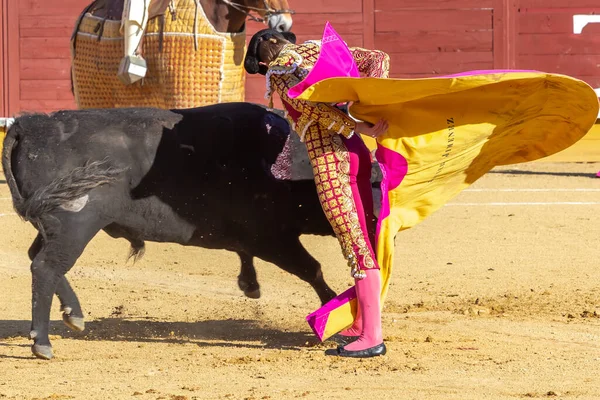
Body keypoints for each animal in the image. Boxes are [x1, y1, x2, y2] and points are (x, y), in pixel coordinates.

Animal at [2, 102, 382, 360]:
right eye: (370, 184)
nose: (377, 227)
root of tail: (30, 123)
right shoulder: (272, 238)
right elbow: (312, 270)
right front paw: (338, 323)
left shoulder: (261, 239)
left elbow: (254, 258)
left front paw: (250, 284)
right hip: (75, 224)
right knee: (46, 267)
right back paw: (42, 342)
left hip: (56, 225)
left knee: (39, 260)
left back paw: (73, 316)